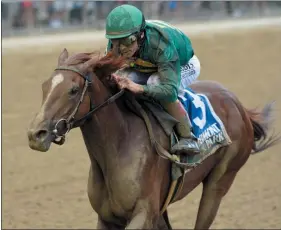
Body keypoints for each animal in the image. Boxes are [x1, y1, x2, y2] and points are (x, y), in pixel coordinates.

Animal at [27, 49, 278, 229]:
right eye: (44, 86)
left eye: (73, 90)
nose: (36, 135)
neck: (119, 145)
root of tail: (239, 106)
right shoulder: (108, 218)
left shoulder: (143, 214)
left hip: (220, 181)